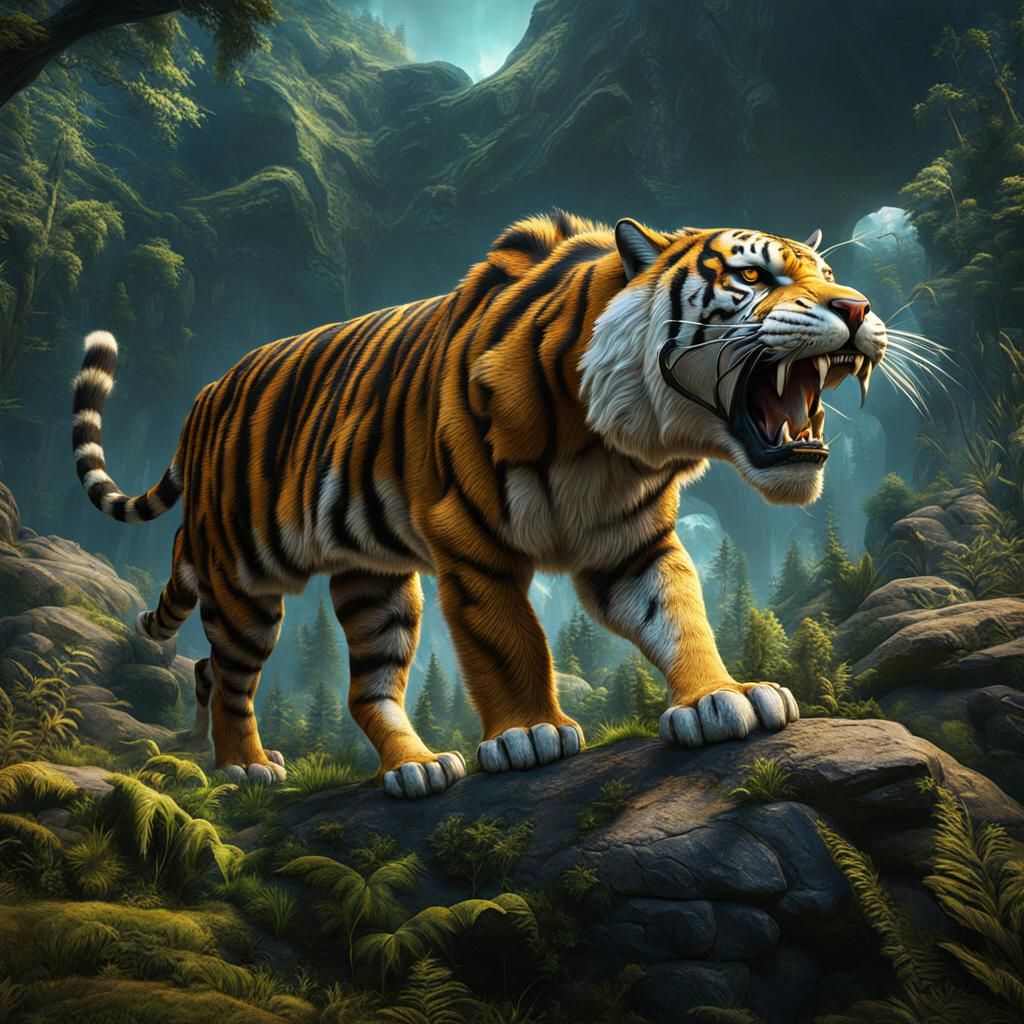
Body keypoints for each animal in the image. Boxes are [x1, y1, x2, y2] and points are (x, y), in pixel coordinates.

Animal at [71, 211, 886, 797]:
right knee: (231, 676)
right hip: (244, 581)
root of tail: (203, 398)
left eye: (829, 275)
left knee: (356, 689)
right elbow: (509, 641)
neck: (619, 442)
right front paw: (529, 735)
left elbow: (680, 617)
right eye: (752, 275)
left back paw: (415, 768)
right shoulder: (469, 539)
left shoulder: (633, 543)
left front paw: (724, 700)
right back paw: (245, 765)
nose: (859, 307)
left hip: (376, 588)